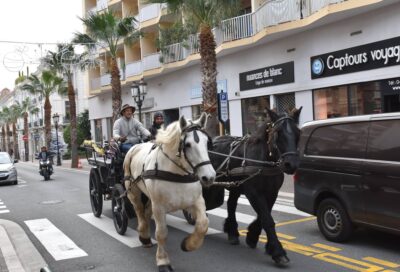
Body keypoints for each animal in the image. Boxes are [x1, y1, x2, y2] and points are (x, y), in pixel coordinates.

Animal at [123, 112, 216, 272]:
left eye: (206, 143)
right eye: (187, 144)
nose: (209, 177)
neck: (177, 173)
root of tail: (136, 146)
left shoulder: (196, 201)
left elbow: (203, 224)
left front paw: (188, 244)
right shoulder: (159, 207)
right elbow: (161, 233)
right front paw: (163, 261)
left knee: (146, 211)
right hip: (133, 191)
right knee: (139, 210)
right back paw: (144, 235)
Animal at [208, 107, 302, 266]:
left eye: (298, 133)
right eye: (278, 133)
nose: (291, 165)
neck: (264, 160)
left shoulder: (272, 192)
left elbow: (264, 216)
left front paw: (253, 237)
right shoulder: (253, 192)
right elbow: (267, 219)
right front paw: (278, 252)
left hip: (235, 186)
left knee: (231, 205)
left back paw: (232, 232)